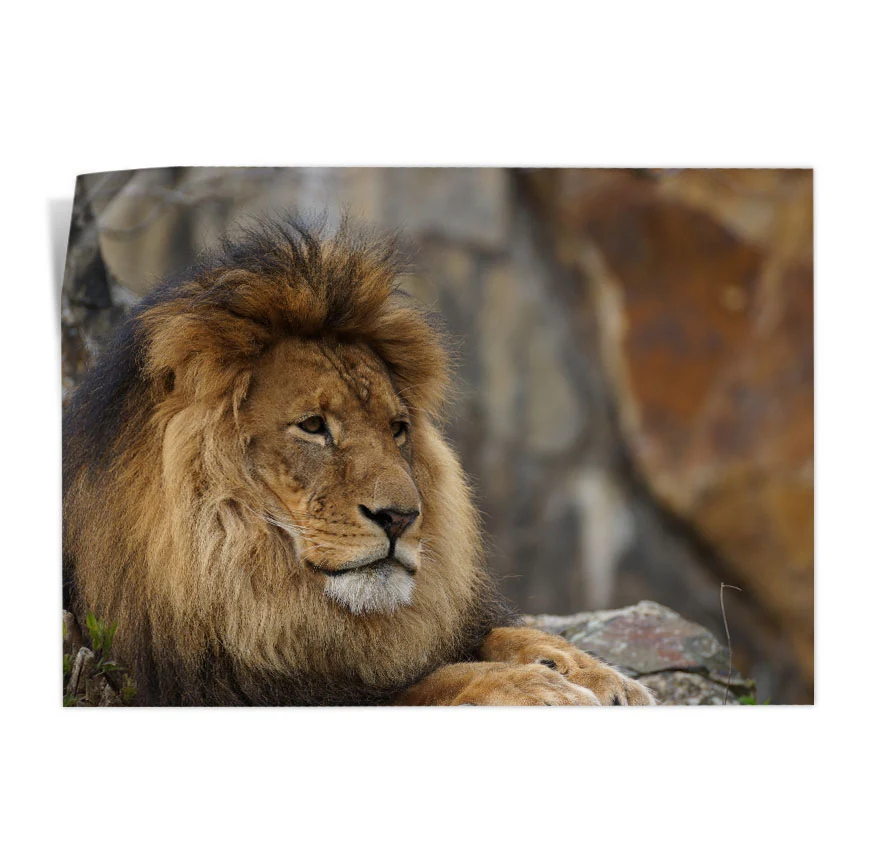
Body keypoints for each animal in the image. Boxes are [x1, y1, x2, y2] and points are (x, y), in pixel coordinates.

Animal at [62, 219, 654, 706]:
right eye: (313, 426)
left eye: (397, 429)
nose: (400, 518)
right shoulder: (224, 689)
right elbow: (422, 685)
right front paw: (535, 686)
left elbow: (501, 634)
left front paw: (596, 674)